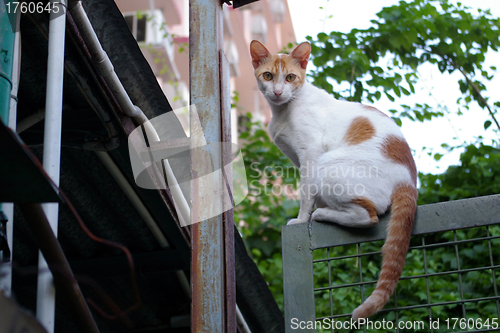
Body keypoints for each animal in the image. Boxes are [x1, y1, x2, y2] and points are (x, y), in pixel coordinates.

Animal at [250, 40, 418, 320]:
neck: (284, 110)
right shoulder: (298, 159)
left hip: (326, 166)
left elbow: (305, 195)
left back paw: (324, 215)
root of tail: (409, 180)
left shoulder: (310, 154)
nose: (277, 92)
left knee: (368, 216)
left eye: (290, 77)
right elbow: (308, 193)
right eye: (268, 76)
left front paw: (302, 219)